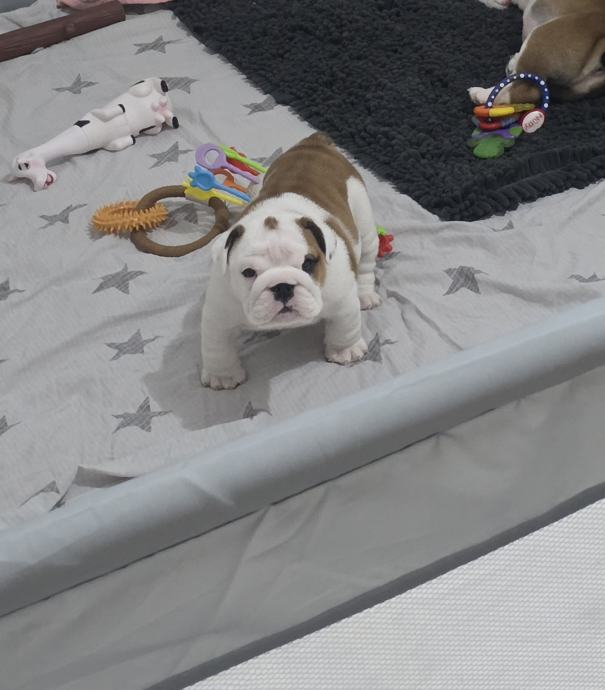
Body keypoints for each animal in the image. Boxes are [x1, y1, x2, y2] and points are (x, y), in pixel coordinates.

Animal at [200, 133, 381, 390]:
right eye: (248, 272)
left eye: (308, 264)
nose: (283, 286)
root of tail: (314, 143)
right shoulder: (220, 311)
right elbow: (217, 347)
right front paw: (223, 376)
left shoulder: (342, 299)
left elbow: (345, 327)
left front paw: (345, 351)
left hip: (363, 216)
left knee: (366, 260)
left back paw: (366, 295)